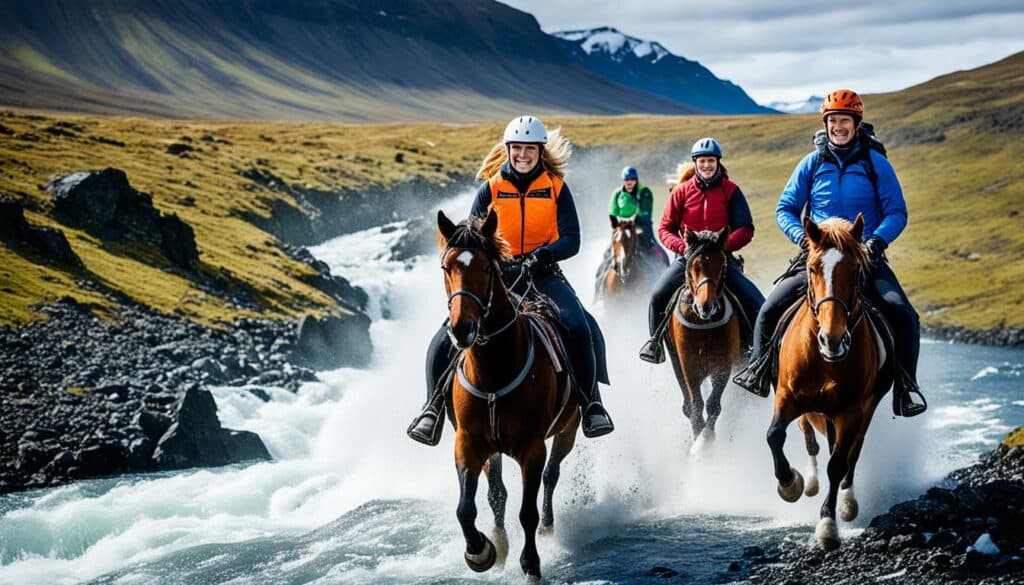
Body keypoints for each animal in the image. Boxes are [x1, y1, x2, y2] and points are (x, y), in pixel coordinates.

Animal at [436, 207, 581, 577]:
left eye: (486, 268)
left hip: (569, 428)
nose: (462, 329)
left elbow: (527, 510)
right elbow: (468, 507)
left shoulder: (532, 448)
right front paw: (482, 551)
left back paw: (547, 527)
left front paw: (530, 564)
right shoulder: (468, 443)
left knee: (551, 475)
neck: (494, 372)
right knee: (498, 492)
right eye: (447, 268)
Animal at [667, 227, 741, 448]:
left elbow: (713, 404)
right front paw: (699, 440)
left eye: (721, 265)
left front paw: (704, 443)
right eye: (694, 265)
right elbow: (696, 405)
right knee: (687, 405)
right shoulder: (689, 367)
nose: (705, 306)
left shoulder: (723, 366)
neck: (703, 325)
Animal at [770, 214, 888, 549]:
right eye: (812, 268)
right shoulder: (786, 397)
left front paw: (827, 526)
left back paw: (848, 502)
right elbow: (775, 436)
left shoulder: (850, 411)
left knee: (852, 452)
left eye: (856, 269)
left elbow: (838, 463)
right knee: (811, 438)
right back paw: (809, 482)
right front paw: (790, 484)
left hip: (864, 410)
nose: (832, 339)